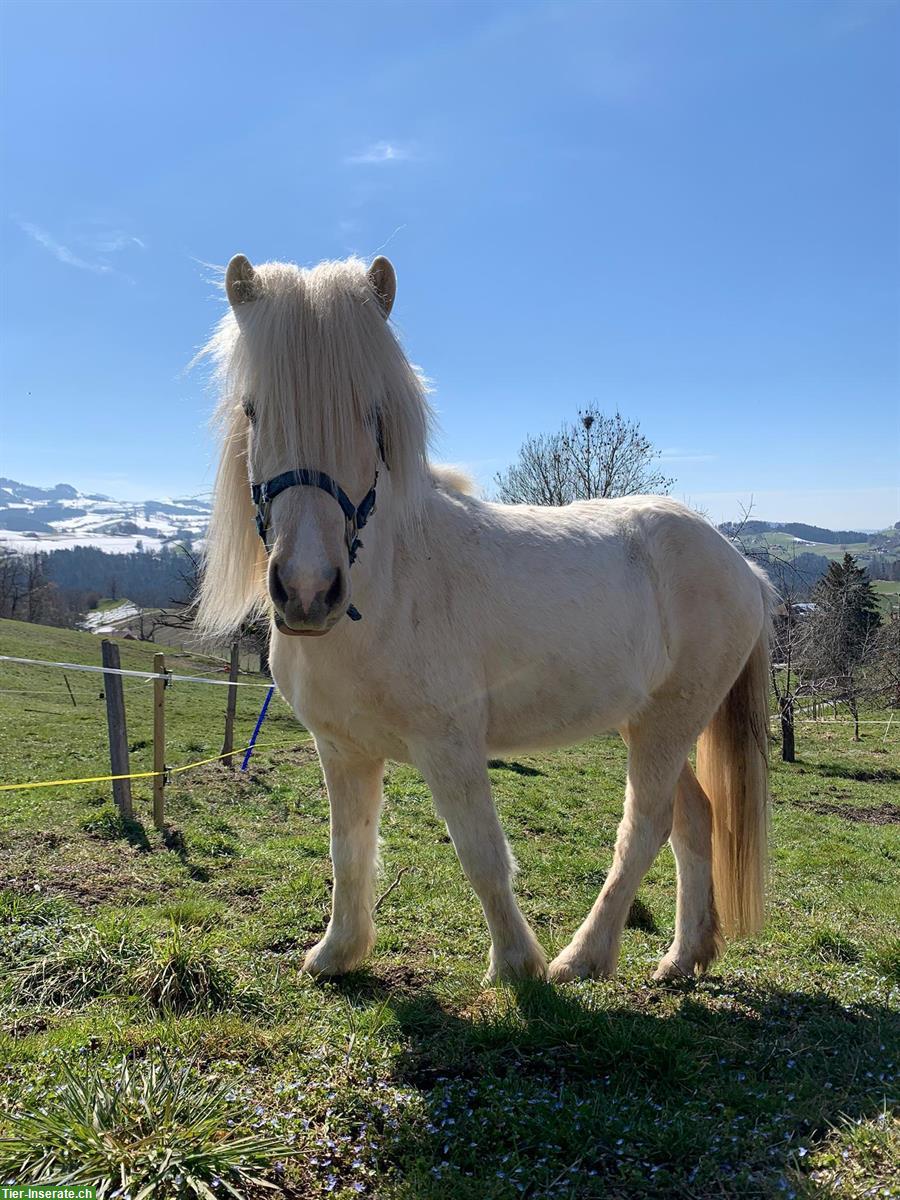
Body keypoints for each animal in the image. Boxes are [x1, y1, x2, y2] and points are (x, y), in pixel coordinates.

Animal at [199, 253, 777, 984]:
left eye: (372, 415)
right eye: (254, 411)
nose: (307, 590)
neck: (387, 591)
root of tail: (743, 566)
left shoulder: (451, 747)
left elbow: (481, 855)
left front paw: (515, 965)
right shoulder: (343, 750)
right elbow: (349, 850)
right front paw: (337, 953)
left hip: (668, 725)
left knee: (645, 829)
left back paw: (582, 958)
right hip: (649, 722)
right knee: (694, 822)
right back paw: (683, 958)